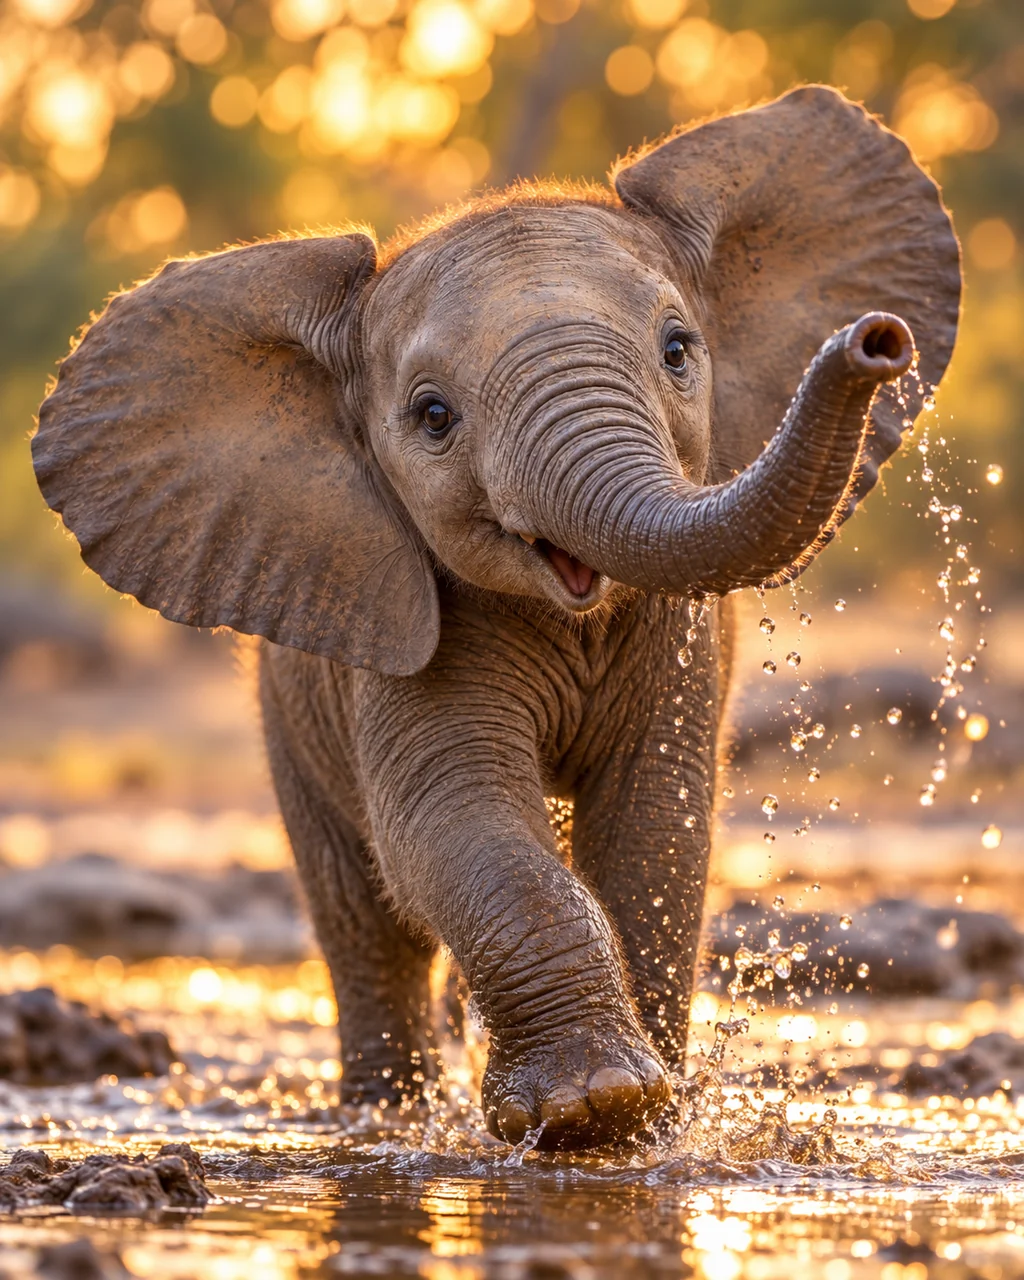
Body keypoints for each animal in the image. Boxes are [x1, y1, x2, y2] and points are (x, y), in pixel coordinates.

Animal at [32, 86, 960, 1150]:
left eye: (679, 351)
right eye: (432, 417)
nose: (875, 341)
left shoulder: (675, 638)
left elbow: (655, 825)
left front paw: (647, 1125)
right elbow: (454, 820)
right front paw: (592, 1107)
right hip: (288, 716)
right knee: (365, 922)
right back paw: (382, 1119)